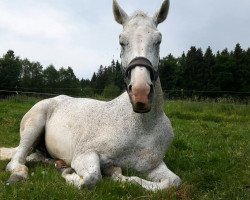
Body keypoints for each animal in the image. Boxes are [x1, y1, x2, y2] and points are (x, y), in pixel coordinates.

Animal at [0, 0, 181, 191]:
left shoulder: (154, 166)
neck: (142, 126)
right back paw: (21, 173)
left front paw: (115, 174)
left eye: (158, 40)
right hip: (33, 126)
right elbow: (91, 178)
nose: (141, 93)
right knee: (16, 160)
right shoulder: (84, 154)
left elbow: (173, 182)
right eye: (121, 41)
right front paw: (70, 174)